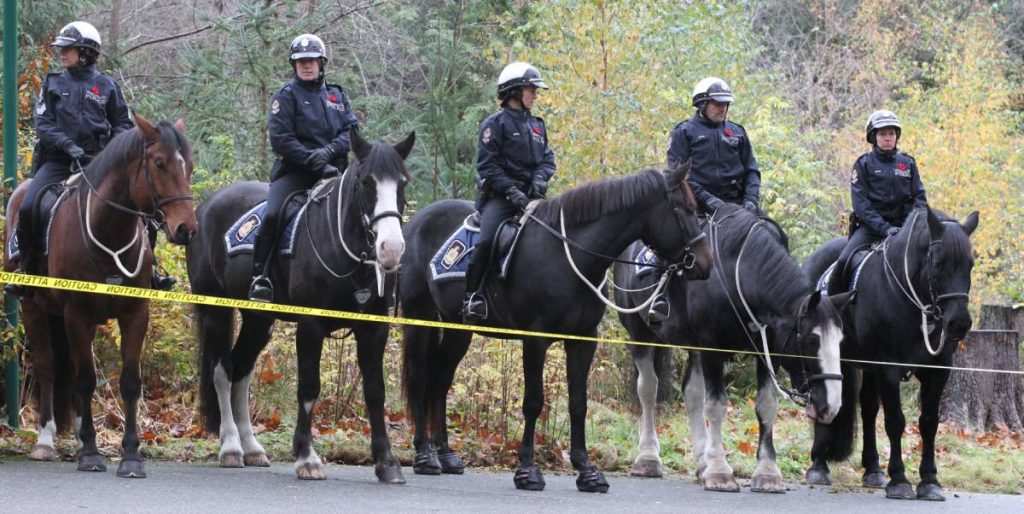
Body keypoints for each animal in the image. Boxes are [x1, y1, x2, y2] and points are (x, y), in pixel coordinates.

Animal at [2, 115, 195, 477]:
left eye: (188, 165)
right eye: (159, 163)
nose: (186, 229)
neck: (108, 228)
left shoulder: (135, 314)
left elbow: (129, 382)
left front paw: (130, 456)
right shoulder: (77, 314)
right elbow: (86, 379)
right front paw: (91, 453)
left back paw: (77, 437)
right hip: (34, 308)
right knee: (48, 366)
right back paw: (46, 440)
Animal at [188, 129, 415, 481]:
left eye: (402, 183)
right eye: (366, 182)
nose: (390, 248)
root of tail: (206, 206)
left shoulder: (374, 328)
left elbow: (375, 392)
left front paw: (387, 463)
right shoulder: (311, 325)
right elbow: (309, 387)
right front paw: (307, 457)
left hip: (258, 320)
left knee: (241, 370)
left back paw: (252, 448)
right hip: (216, 312)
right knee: (222, 372)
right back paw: (231, 447)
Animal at [399, 166, 712, 491]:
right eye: (683, 209)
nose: (705, 262)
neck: (567, 256)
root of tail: (416, 221)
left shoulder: (583, 340)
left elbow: (578, 403)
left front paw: (586, 470)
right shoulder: (535, 340)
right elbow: (533, 401)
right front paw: (527, 470)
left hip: (458, 328)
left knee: (440, 380)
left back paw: (446, 455)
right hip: (419, 316)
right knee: (420, 378)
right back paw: (424, 455)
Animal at [610, 202, 851, 491]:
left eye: (840, 340)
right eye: (811, 340)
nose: (831, 407)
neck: (737, 273)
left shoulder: (766, 351)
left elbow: (766, 405)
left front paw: (767, 473)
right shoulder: (712, 348)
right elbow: (715, 406)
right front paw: (719, 471)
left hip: (693, 347)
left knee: (692, 393)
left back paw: (701, 460)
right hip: (640, 333)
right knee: (648, 390)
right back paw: (648, 458)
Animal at [802, 206, 978, 499]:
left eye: (970, 264)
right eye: (938, 263)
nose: (959, 323)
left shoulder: (937, 371)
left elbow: (928, 422)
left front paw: (929, 481)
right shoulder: (889, 369)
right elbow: (895, 421)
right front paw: (899, 480)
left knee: (868, 409)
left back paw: (872, 469)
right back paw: (818, 465)